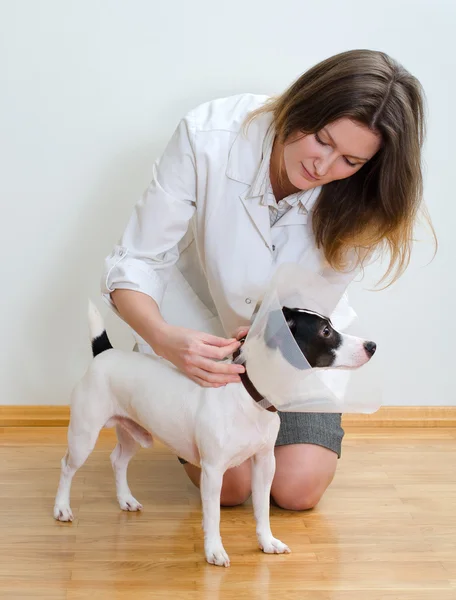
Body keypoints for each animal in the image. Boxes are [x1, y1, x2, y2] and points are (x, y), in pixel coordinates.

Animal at [53, 300, 376, 568]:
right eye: (325, 331)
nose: (372, 344)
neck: (249, 392)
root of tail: (104, 353)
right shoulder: (212, 471)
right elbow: (214, 515)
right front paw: (214, 550)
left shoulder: (265, 464)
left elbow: (262, 509)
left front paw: (267, 541)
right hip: (84, 435)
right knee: (67, 467)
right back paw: (62, 507)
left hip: (134, 432)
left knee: (118, 460)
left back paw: (125, 499)